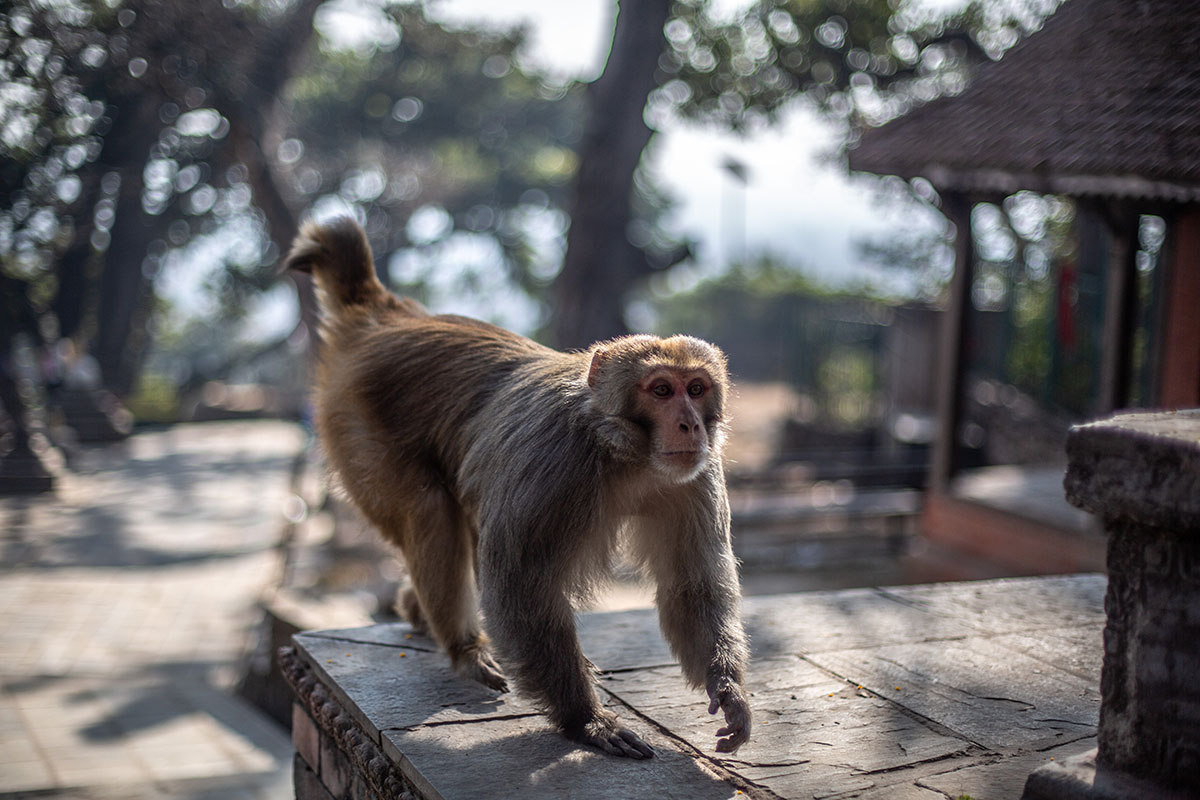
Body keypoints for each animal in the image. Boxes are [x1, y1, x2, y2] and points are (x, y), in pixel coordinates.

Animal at [285, 217, 748, 758]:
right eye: (661, 390)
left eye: (695, 388)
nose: (690, 425)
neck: (623, 451)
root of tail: (387, 317)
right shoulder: (553, 462)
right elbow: (520, 586)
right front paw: (585, 719)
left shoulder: (695, 477)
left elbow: (691, 585)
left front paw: (729, 693)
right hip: (354, 420)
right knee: (430, 509)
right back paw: (464, 648)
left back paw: (417, 612)